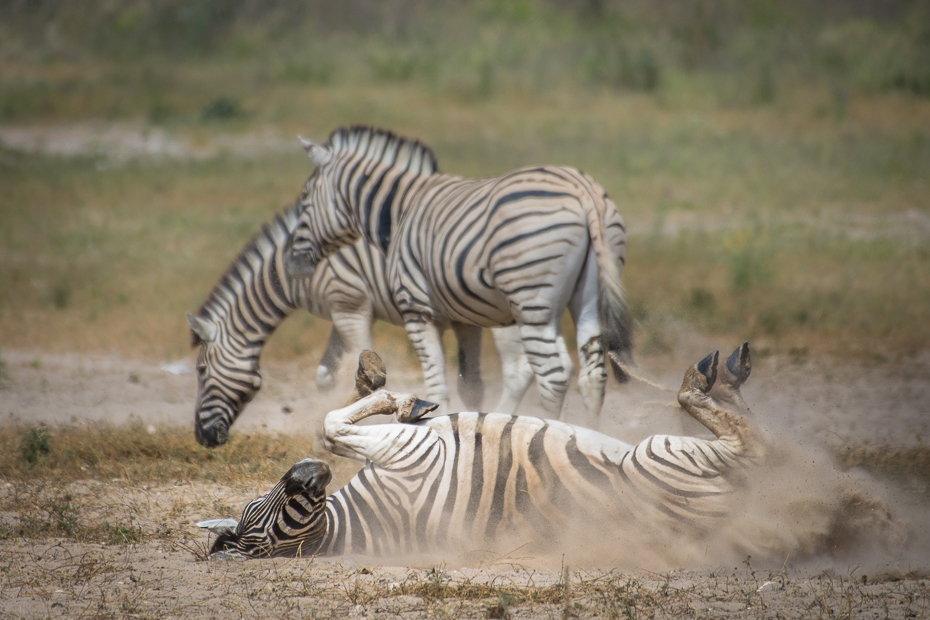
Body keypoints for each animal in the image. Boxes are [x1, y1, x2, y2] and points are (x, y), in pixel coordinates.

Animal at [187, 206, 536, 448]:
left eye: (201, 370)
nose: (203, 438)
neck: (294, 274)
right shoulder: (339, 313)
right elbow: (326, 375)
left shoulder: (350, 306)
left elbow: (363, 362)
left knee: (520, 371)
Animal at [198, 342, 768, 560]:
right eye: (278, 514)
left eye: (256, 503)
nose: (307, 471)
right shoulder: (408, 453)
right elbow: (333, 425)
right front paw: (396, 398)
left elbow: (342, 418)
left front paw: (383, 387)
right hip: (659, 452)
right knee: (752, 443)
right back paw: (705, 378)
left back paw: (730, 374)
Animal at [284, 124, 632, 418]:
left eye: (305, 199)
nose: (289, 262)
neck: (400, 212)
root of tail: (583, 187)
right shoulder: (467, 320)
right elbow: (470, 385)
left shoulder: (418, 309)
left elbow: (438, 384)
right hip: (587, 296)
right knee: (593, 375)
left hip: (531, 297)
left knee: (553, 376)